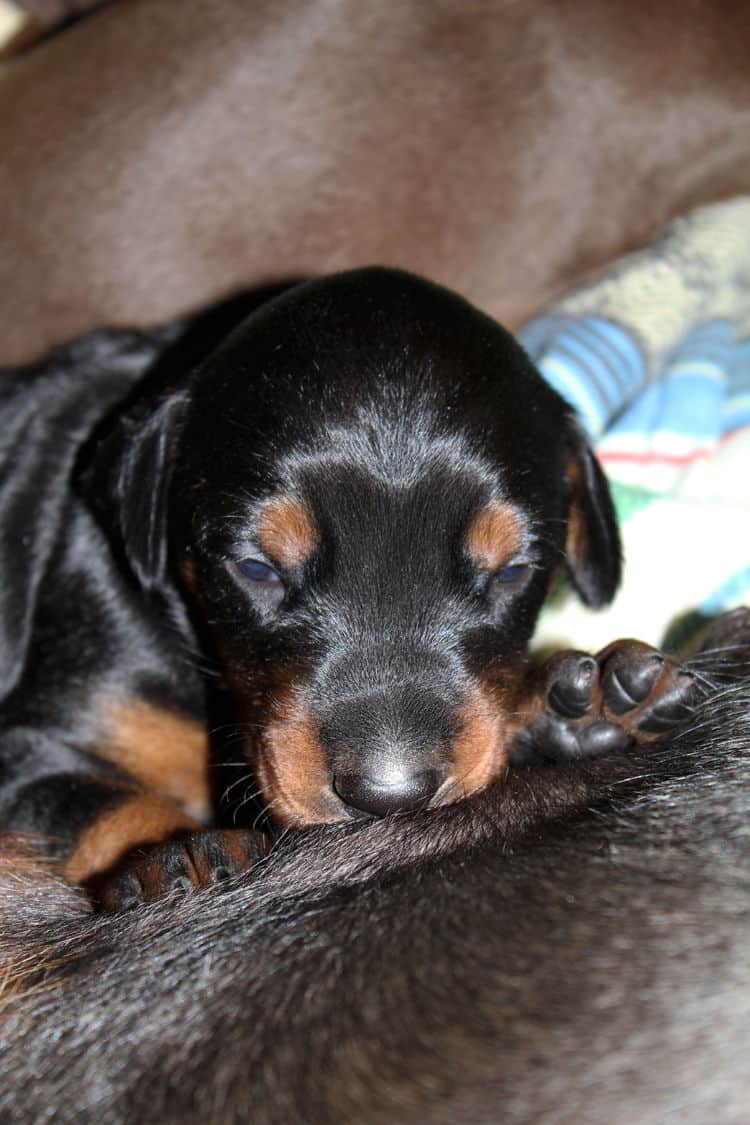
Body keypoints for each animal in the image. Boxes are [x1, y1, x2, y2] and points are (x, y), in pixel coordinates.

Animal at [0, 265, 697, 904]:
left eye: (513, 571)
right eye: (257, 568)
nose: (390, 797)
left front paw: (578, 703)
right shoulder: (35, 749)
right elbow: (93, 802)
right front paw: (181, 856)